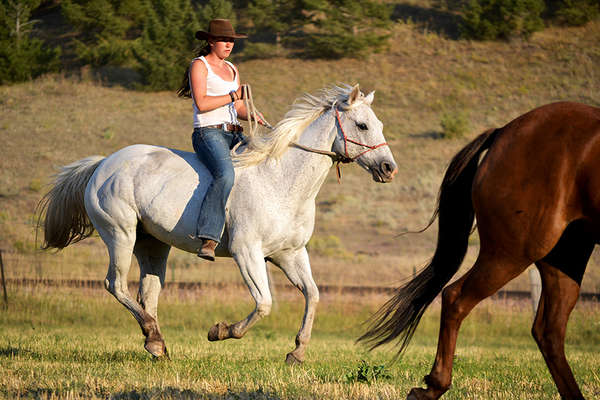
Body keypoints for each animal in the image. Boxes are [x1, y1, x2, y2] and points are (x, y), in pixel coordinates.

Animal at [41, 83, 398, 364]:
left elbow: (313, 295)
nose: (389, 168)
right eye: (363, 125)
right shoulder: (247, 253)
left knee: (148, 293)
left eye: (379, 123)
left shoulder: (290, 254)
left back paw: (156, 344)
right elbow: (264, 303)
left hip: (152, 243)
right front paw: (220, 331)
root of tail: (103, 163)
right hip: (120, 234)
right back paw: (154, 338)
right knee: (115, 284)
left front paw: (296, 353)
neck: (280, 181)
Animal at [360, 101, 600, 398]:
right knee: (455, 297)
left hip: (565, 255)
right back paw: (433, 386)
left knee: (549, 331)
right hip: (512, 252)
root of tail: (503, 132)